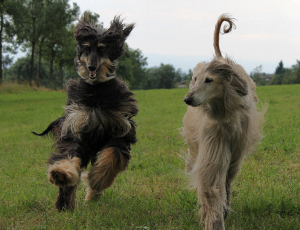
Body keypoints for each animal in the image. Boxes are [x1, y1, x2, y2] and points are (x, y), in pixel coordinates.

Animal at [32, 14, 138, 212]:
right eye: (86, 48)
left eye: (102, 49)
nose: (91, 67)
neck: (96, 92)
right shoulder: (76, 127)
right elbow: (69, 154)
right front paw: (60, 174)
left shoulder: (120, 129)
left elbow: (112, 156)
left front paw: (98, 179)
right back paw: (65, 204)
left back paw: (91, 196)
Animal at [182, 13, 266, 228]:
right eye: (195, 78)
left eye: (209, 80)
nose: (188, 99)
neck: (222, 113)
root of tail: (220, 57)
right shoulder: (212, 140)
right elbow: (211, 182)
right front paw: (214, 219)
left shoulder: (232, 146)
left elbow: (223, 181)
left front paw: (220, 214)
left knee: (228, 178)